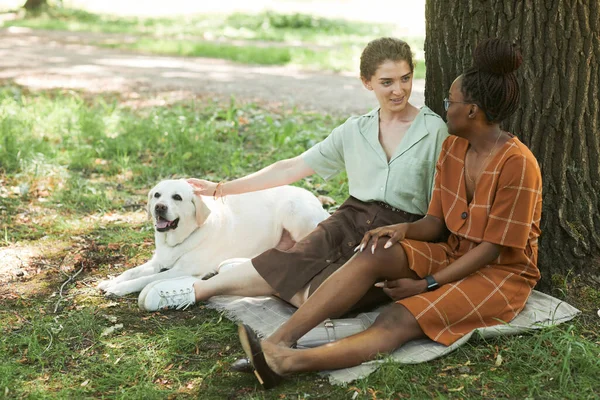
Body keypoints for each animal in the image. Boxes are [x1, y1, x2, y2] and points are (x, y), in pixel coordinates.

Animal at [99, 180, 332, 296]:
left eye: (177, 197)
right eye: (157, 195)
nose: (159, 207)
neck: (179, 239)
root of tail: (316, 200)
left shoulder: (183, 270)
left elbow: (145, 279)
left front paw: (119, 289)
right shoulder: (158, 261)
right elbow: (132, 271)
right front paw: (111, 281)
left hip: (294, 211)